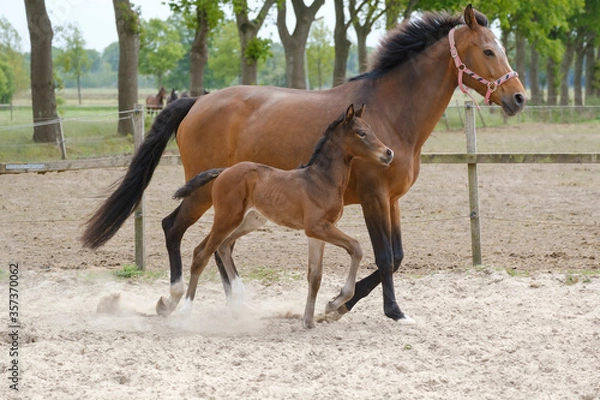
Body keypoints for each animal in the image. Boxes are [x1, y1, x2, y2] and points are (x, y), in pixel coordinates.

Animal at [157, 104, 396, 328]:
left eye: (371, 130)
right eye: (361, 133)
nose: (388, 153)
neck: (322, 180)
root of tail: (224, 171)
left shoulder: (317, 233)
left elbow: (315, 276)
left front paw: (309, 321)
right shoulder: (317, 227)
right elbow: (356, 247)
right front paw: (334, 303)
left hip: (248, 220)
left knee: (220, 246)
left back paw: (238, 300)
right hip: (227, 218)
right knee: (201, 255)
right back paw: (185, 312)